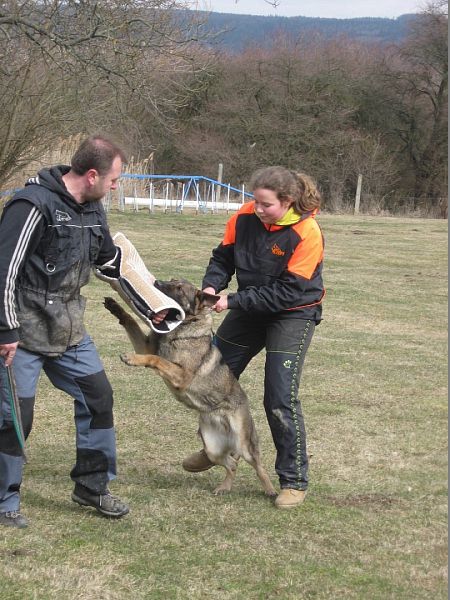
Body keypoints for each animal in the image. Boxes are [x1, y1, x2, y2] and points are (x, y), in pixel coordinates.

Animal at [103, 280, 276, 496]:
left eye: (178, 288)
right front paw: (115, 307)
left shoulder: (182, 374)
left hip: (244, 444)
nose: (156, 282)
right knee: (231, 464)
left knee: (258, 465)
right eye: (170, 280)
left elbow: (155, 359)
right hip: (212, 448)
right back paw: (224, 487)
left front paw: (131, 358)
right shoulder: (146, 346)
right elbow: (131, 322)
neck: (183, 328)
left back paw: (272, 491)